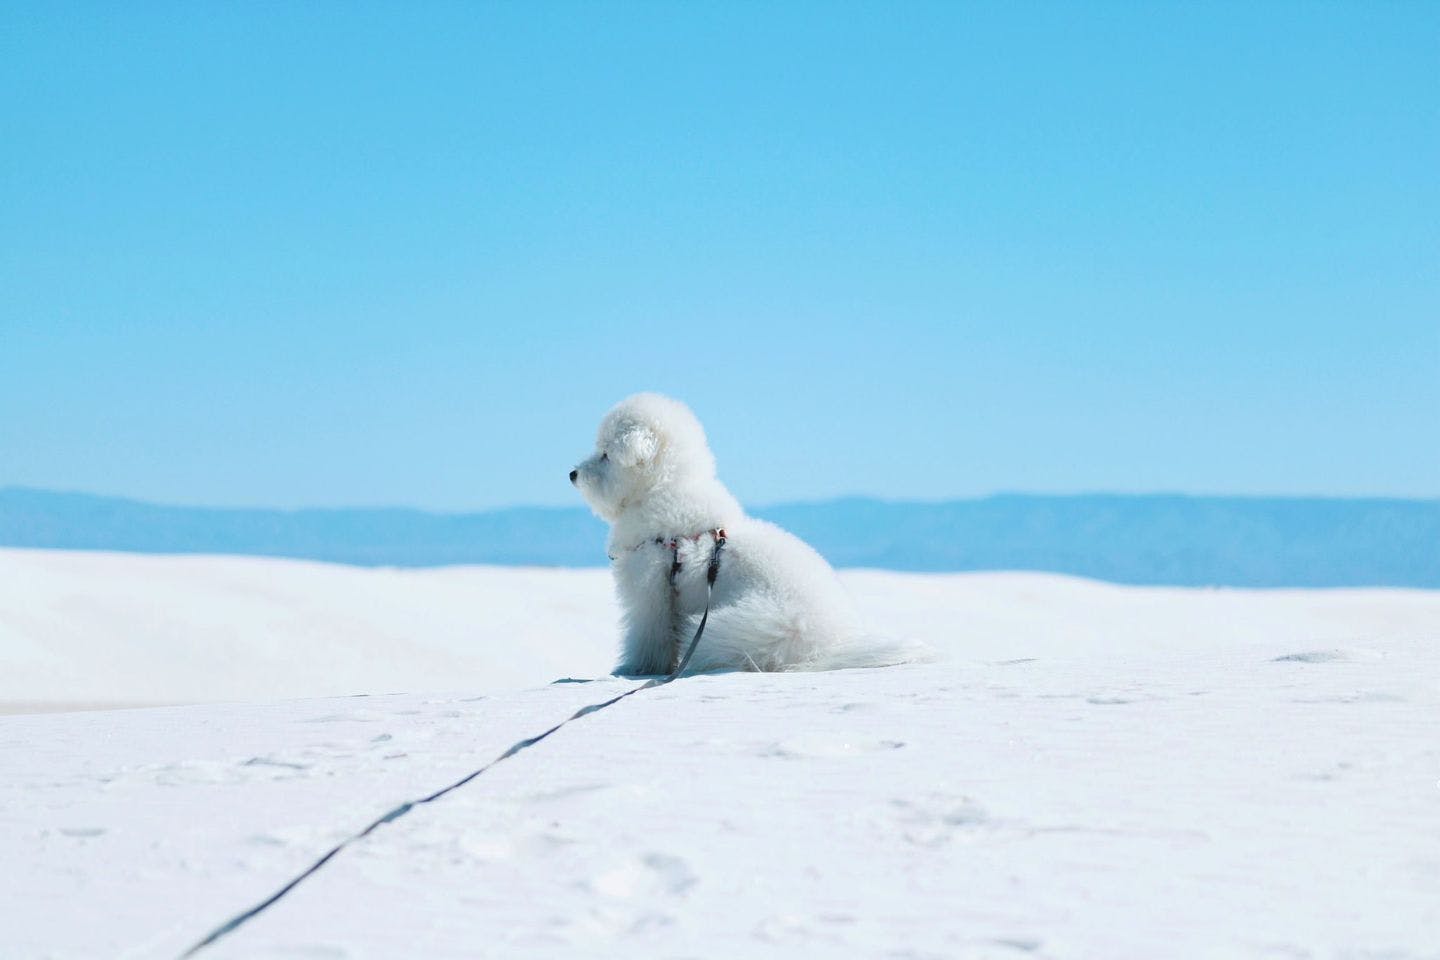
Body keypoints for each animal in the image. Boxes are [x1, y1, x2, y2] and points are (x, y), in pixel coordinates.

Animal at [567, 391, 915, 676]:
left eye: (606, 454)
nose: (572, 474)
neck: (663, 490)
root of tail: (829, 645)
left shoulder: (651, 589)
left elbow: (647, 636)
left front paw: (635, 669)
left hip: (746, 625)